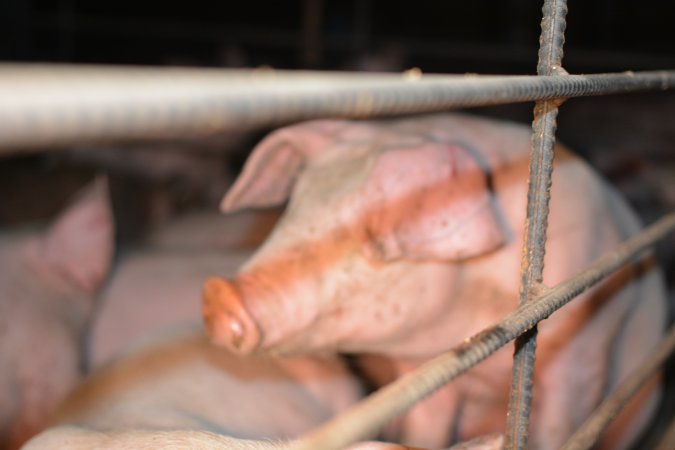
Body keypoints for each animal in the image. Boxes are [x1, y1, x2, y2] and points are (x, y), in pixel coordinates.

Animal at [203, 113, 668, 450]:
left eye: (379, 241)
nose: (218, 296)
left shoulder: (582, 353)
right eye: (293, 209)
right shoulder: (422, 369)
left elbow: (559, 430)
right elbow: (425, 432)